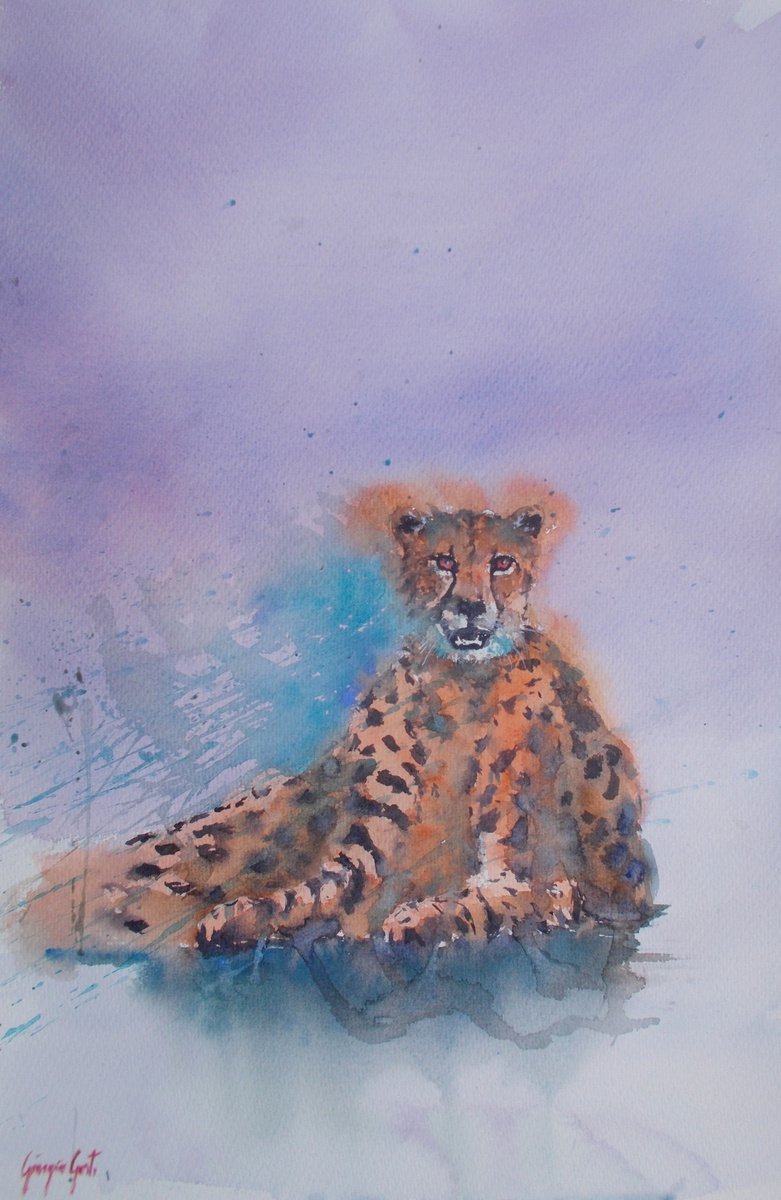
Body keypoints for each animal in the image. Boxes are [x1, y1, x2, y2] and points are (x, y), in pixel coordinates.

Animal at [19, 479, 656, 963]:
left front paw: (418, 919)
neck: (458, 682)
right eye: (443, 561)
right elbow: (306, 892)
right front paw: (238, 917)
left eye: (502, 564)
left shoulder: (548, 879)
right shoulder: (360, 852)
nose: (471, 607)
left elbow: (486, 902)